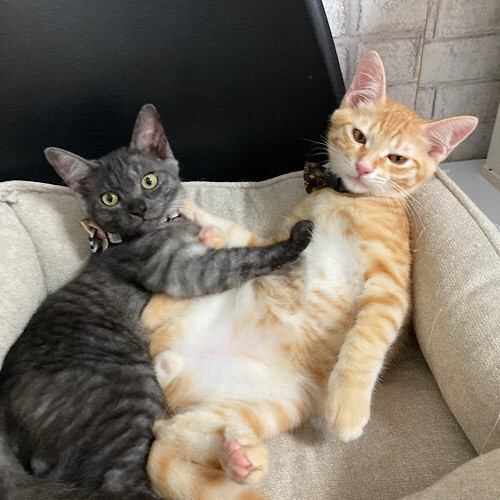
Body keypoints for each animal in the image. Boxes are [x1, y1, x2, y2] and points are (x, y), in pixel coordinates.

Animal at [0, 104, 313, 500]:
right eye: (110, 198)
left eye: (149, 181)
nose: (138, 207)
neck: (162, 228)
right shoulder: (182, 271)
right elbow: (240, 258)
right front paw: (295, 240)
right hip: (128, 393)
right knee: (119, 483)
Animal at [141, 52, 478, 500]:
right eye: (359, 136)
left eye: (397, 159)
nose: (364, 167)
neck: (345, 199)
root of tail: (172, 357)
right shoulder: (288, 238)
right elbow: (250, 240)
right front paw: (202, 217)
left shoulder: (390, 287)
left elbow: (367, 337)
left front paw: (348, 408)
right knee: (161, 414)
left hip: (277, 402)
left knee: (169, 433)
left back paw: (241, 457)